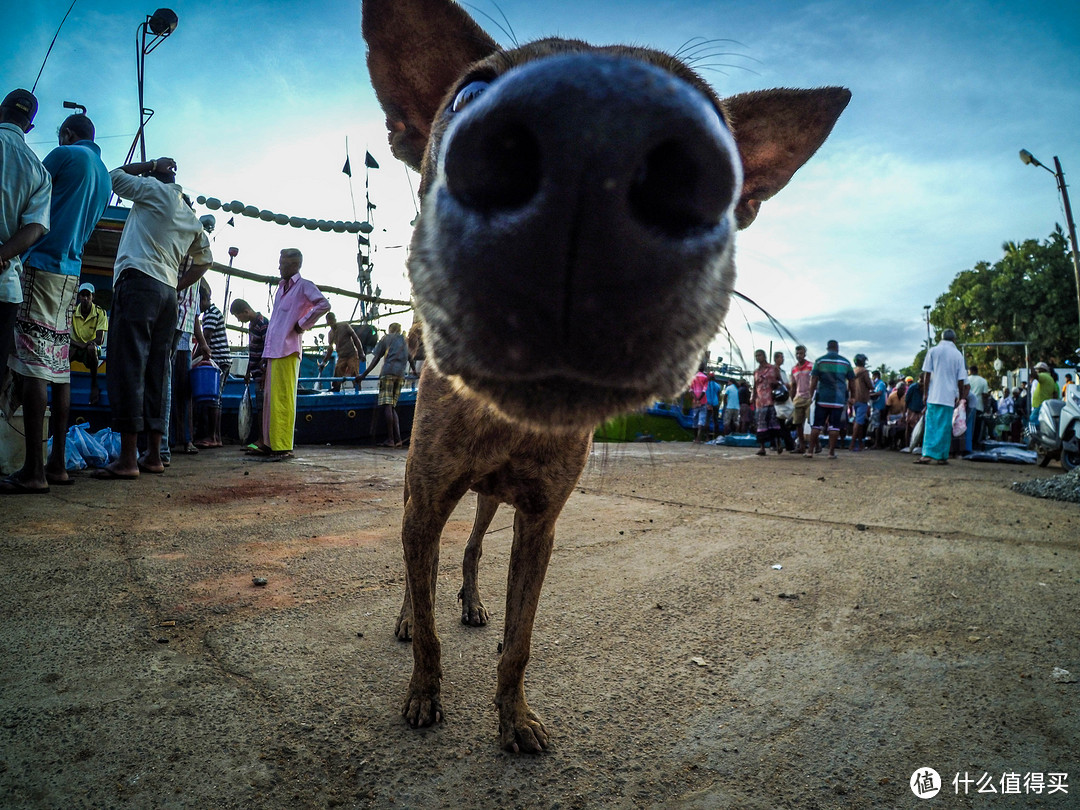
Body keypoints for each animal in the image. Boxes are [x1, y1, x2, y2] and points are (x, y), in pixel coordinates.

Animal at [365, 0, 851, 756]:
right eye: (469, 94)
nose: (594, 135)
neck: (508, 418)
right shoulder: (427, 497)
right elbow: (427, 615)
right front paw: (423, 691)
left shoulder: (540, 520)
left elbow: (519, 641)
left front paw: (514, 717)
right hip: (432, 497)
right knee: (426, 570)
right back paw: (412, 616)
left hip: (490, 500)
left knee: (470, 551)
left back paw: (470, 601)